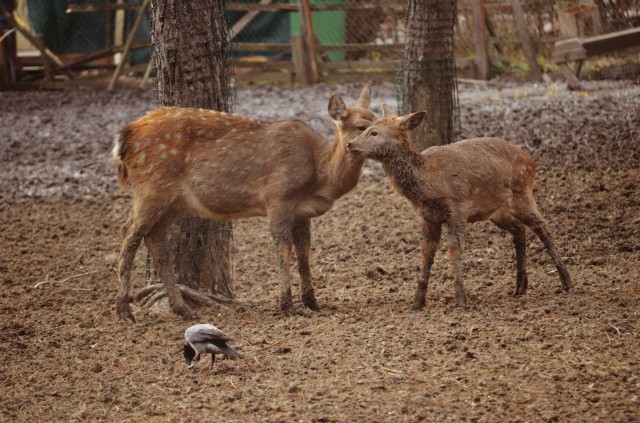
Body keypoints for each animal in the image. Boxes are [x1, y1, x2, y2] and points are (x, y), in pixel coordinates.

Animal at [113, 86, 378, 324]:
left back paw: (183, 310)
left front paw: (312, 302)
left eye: (376, 120)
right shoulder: (278, 197)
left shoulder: (302, 212)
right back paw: (125, 311)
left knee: (156, 242)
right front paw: (287, 304)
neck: (320, 175)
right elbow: (284, 249)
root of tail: (126, 136)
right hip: (151, 189)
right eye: (361, 127)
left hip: (172, 202)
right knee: (128, 234)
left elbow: (304, 253)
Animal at [348, 106, 572, 312]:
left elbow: (455, 249)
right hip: (497, 212)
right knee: (519, 230)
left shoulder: (457, 207)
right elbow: (425, 253)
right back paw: (520, 287)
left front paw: (461, 300)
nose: (350, 144)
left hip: (522, 193)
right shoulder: (428, 217)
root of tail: (531, 161)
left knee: (542, 226)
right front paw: (417, 303)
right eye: (366, 129)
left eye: (374, 132)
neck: (428, 183)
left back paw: (566, 281)